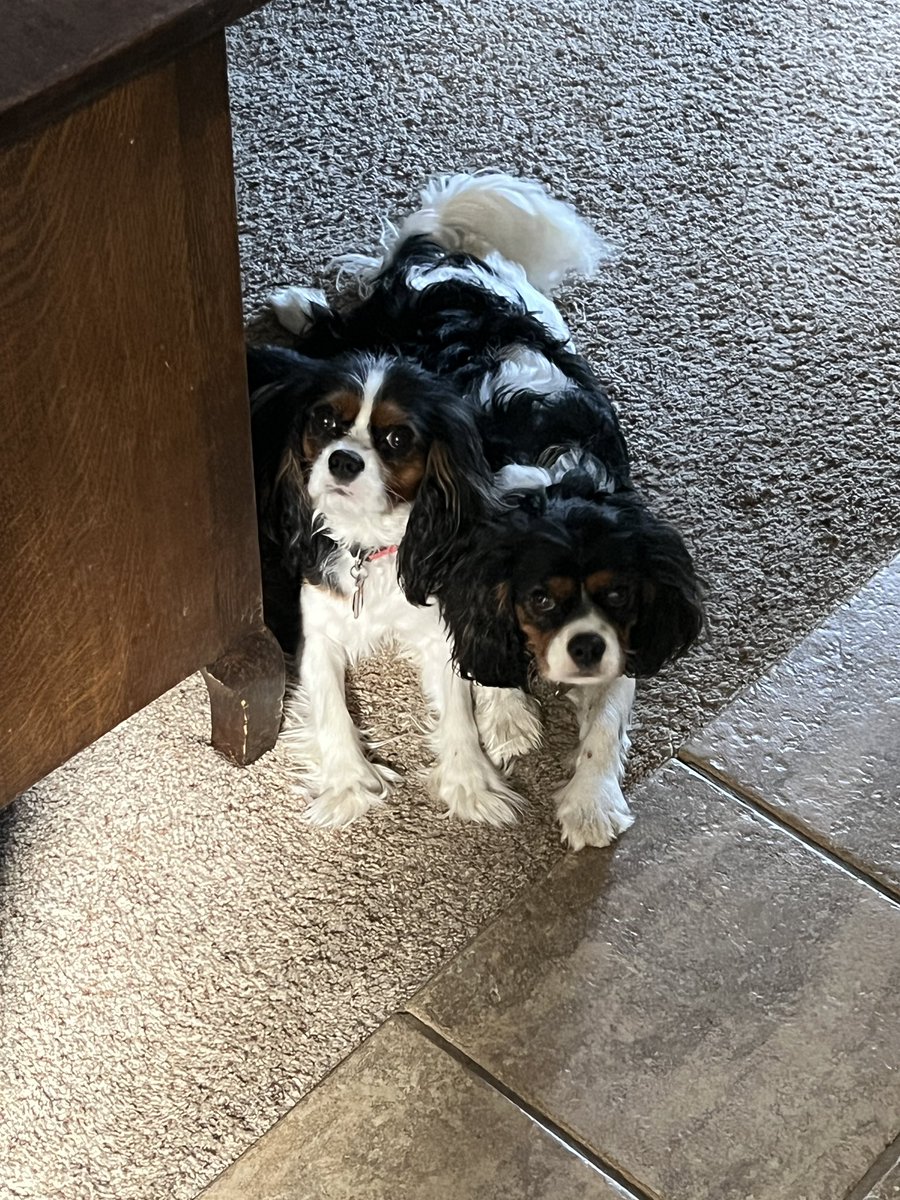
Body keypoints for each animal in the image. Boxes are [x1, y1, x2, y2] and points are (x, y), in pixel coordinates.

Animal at [254, 171, 705, 844]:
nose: (585, 648)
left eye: (619, 596)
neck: (553, 480)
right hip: (360, 331)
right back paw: (291, 301)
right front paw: (508, 719)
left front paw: (590, 804)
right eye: (539, 599)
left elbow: (605, 722)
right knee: (330, 318)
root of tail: (441, 259)